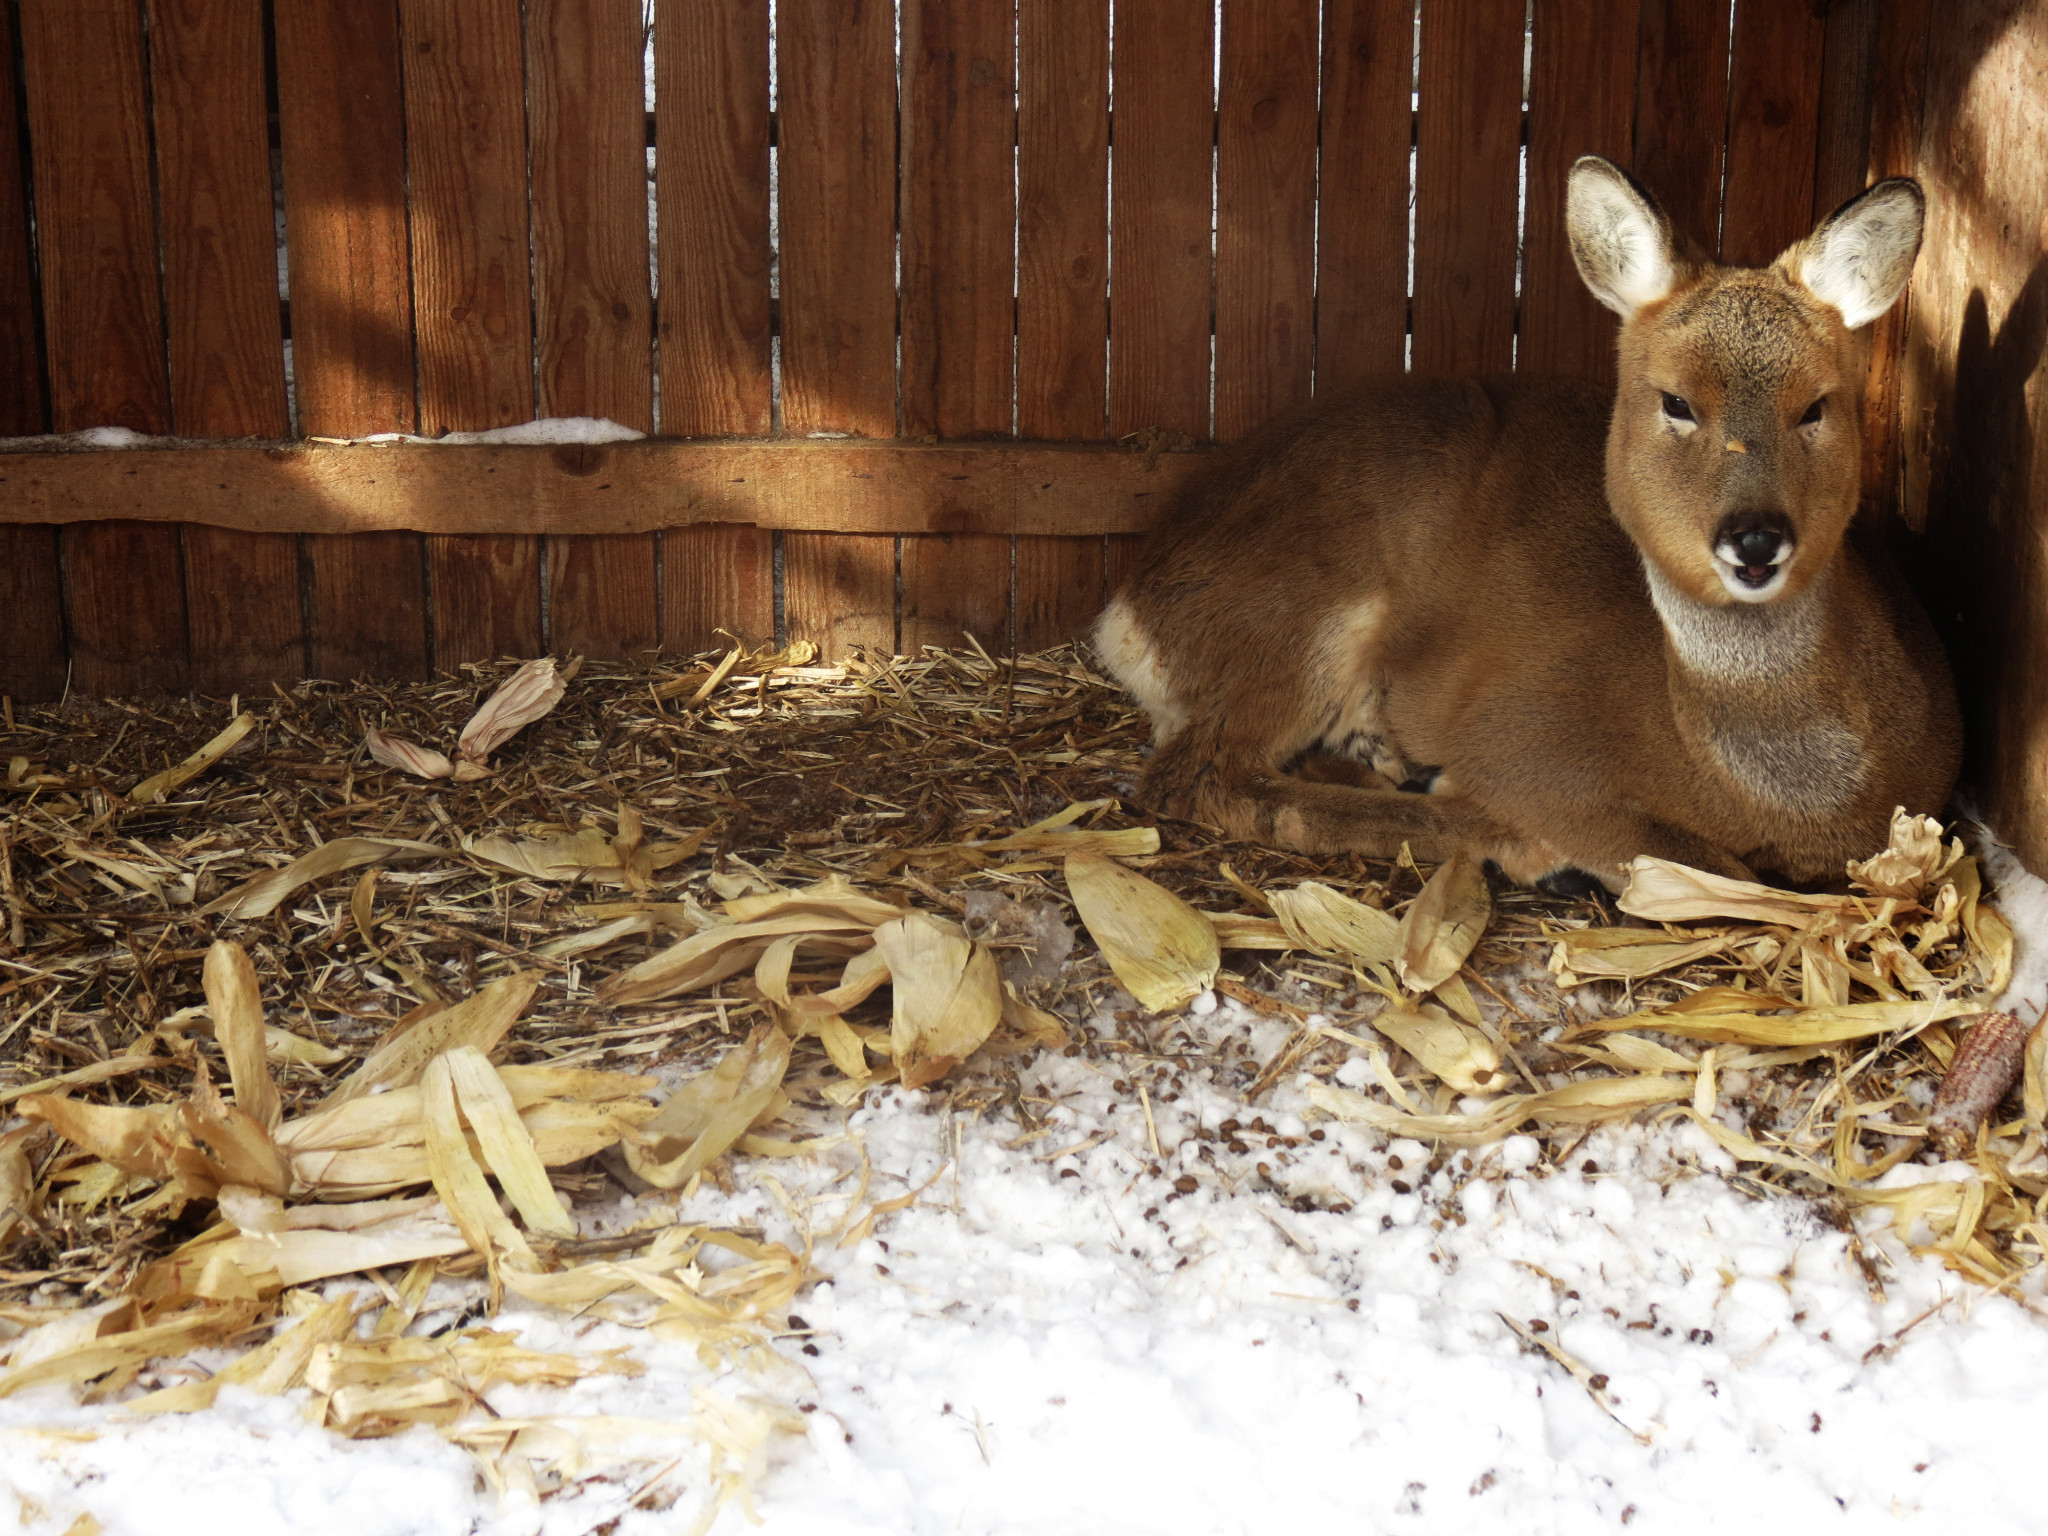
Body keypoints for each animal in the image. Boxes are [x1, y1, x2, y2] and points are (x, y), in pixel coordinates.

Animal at [1097, 156, 1957, 897]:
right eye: (1675, 400)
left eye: (1817, 405)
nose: (1754, 537)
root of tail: (1124, 610)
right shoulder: (1525, 738)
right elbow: (1712, 868)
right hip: (1301, 610)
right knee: (1195, 774)